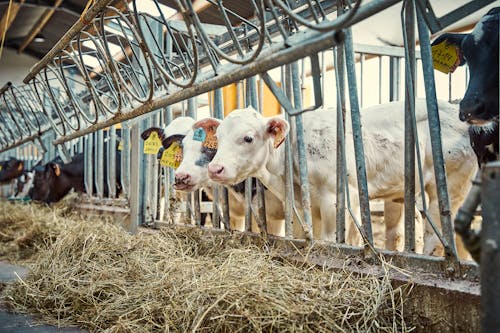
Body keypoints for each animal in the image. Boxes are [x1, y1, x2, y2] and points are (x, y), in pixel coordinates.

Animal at [206, 99, 476, 256]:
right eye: (217, 137)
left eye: (248, 138)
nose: (214, 169)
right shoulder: (305, 205)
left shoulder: (341, 198)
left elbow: (337, 238)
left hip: (450, 186)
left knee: (438, 235)